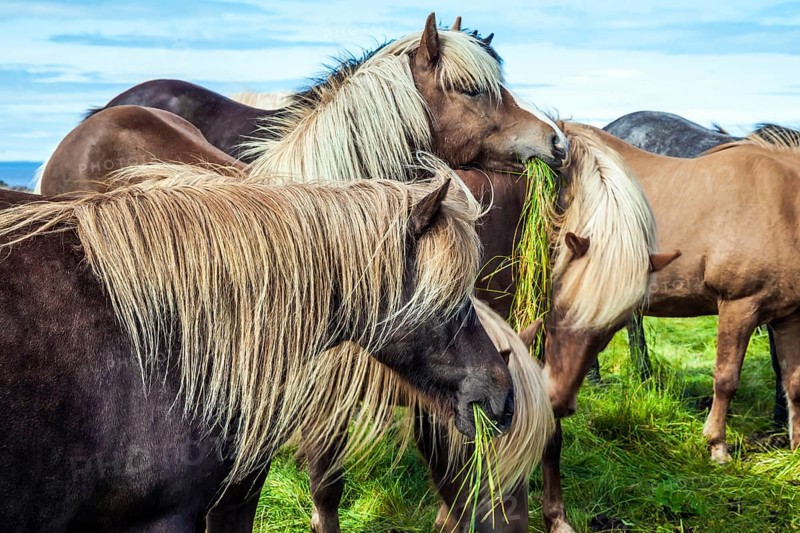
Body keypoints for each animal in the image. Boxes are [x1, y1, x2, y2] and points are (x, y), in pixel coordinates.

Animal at [538, 122, 800, 532]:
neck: (783, 204)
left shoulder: (788, 317)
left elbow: (793, 385)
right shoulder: (740, 306)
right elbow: (726, 380)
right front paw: (717, 447)